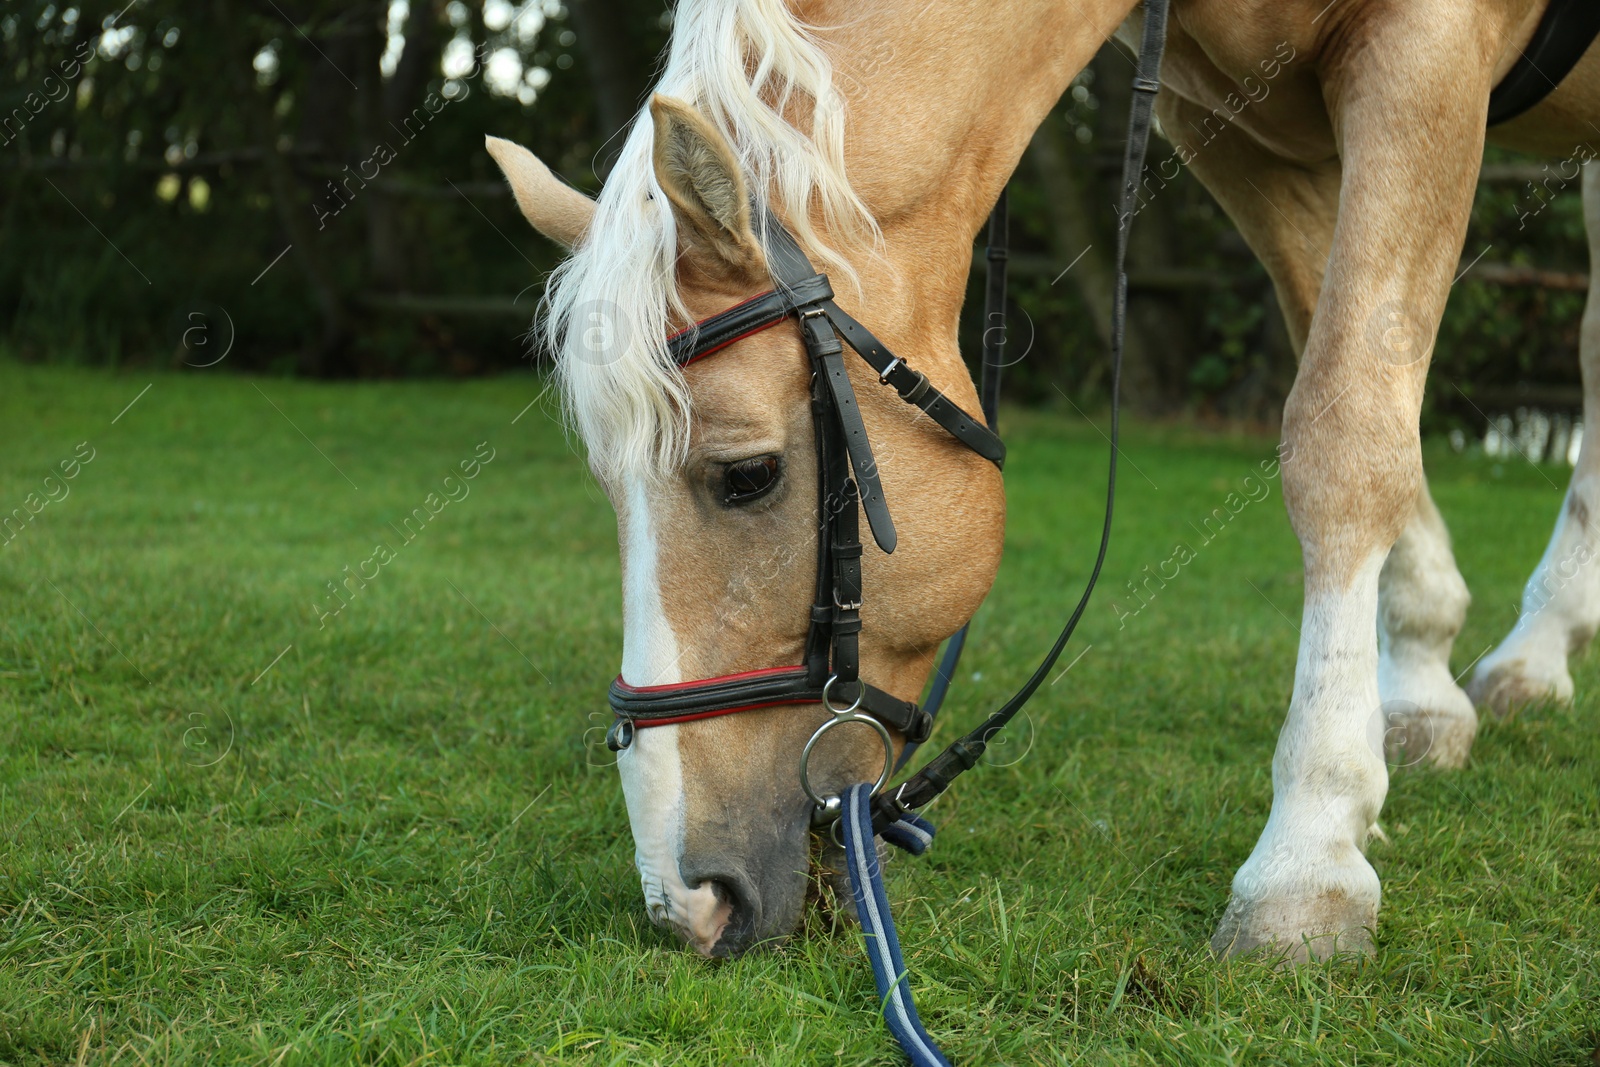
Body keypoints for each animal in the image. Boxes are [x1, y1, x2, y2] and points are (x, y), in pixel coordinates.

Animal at [486, 0, 1600, 966]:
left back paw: (1536, 651)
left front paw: (1308, 857)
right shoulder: (1241, 130)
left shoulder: (1423, 48)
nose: (685, 898)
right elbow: (1346, 365)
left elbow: (1346, 432)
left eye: (748, 475)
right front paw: (1418, 675)